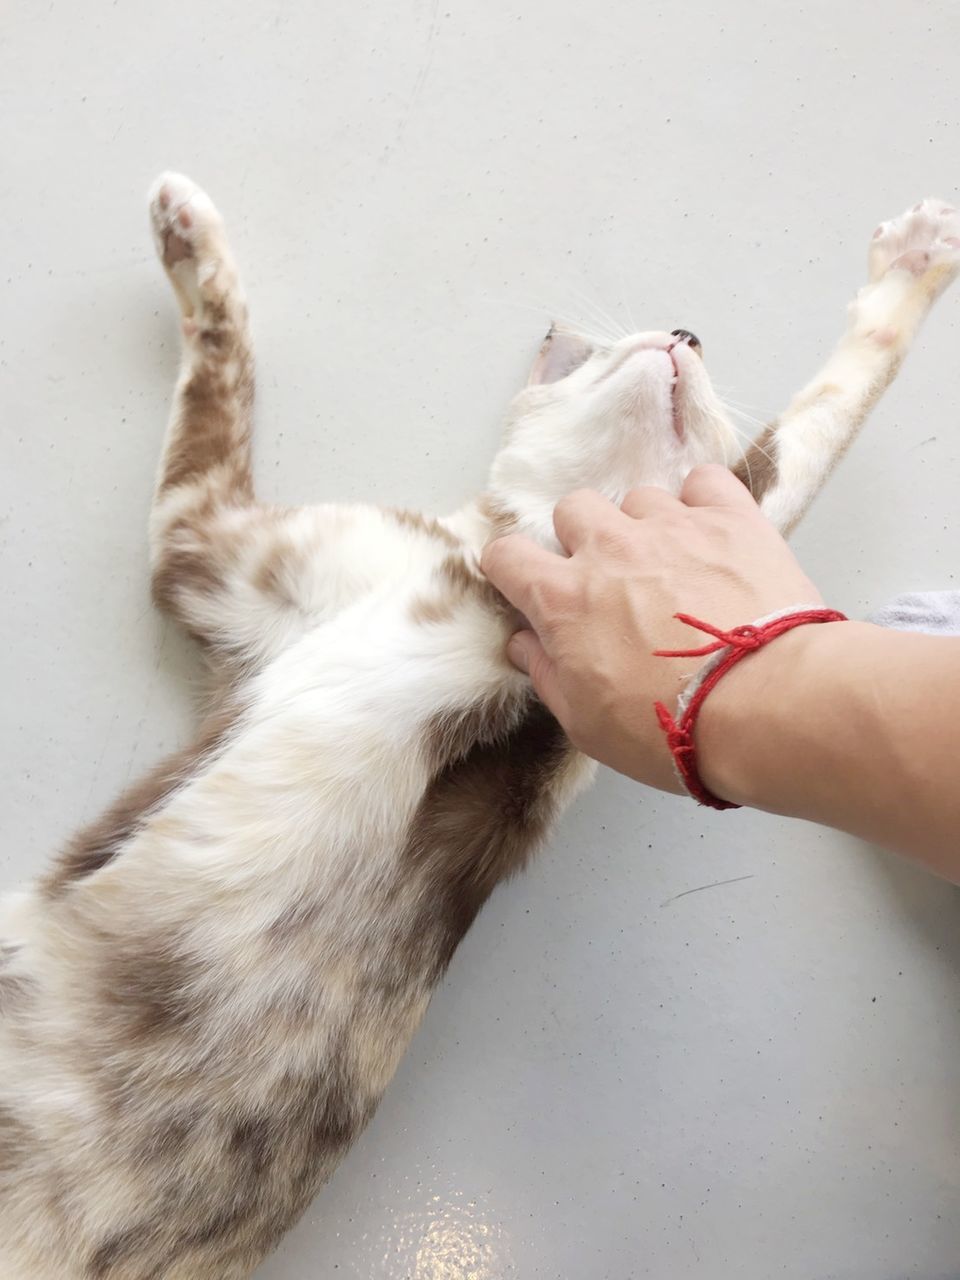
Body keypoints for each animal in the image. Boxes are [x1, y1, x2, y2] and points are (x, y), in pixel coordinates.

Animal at [3, 177, 957, 1280]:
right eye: (602, 352)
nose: (684, 331)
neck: (518, 544)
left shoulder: (208, 544)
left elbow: (829, 409)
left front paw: (917, 258)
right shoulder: (214, 555)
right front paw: (185, 233)